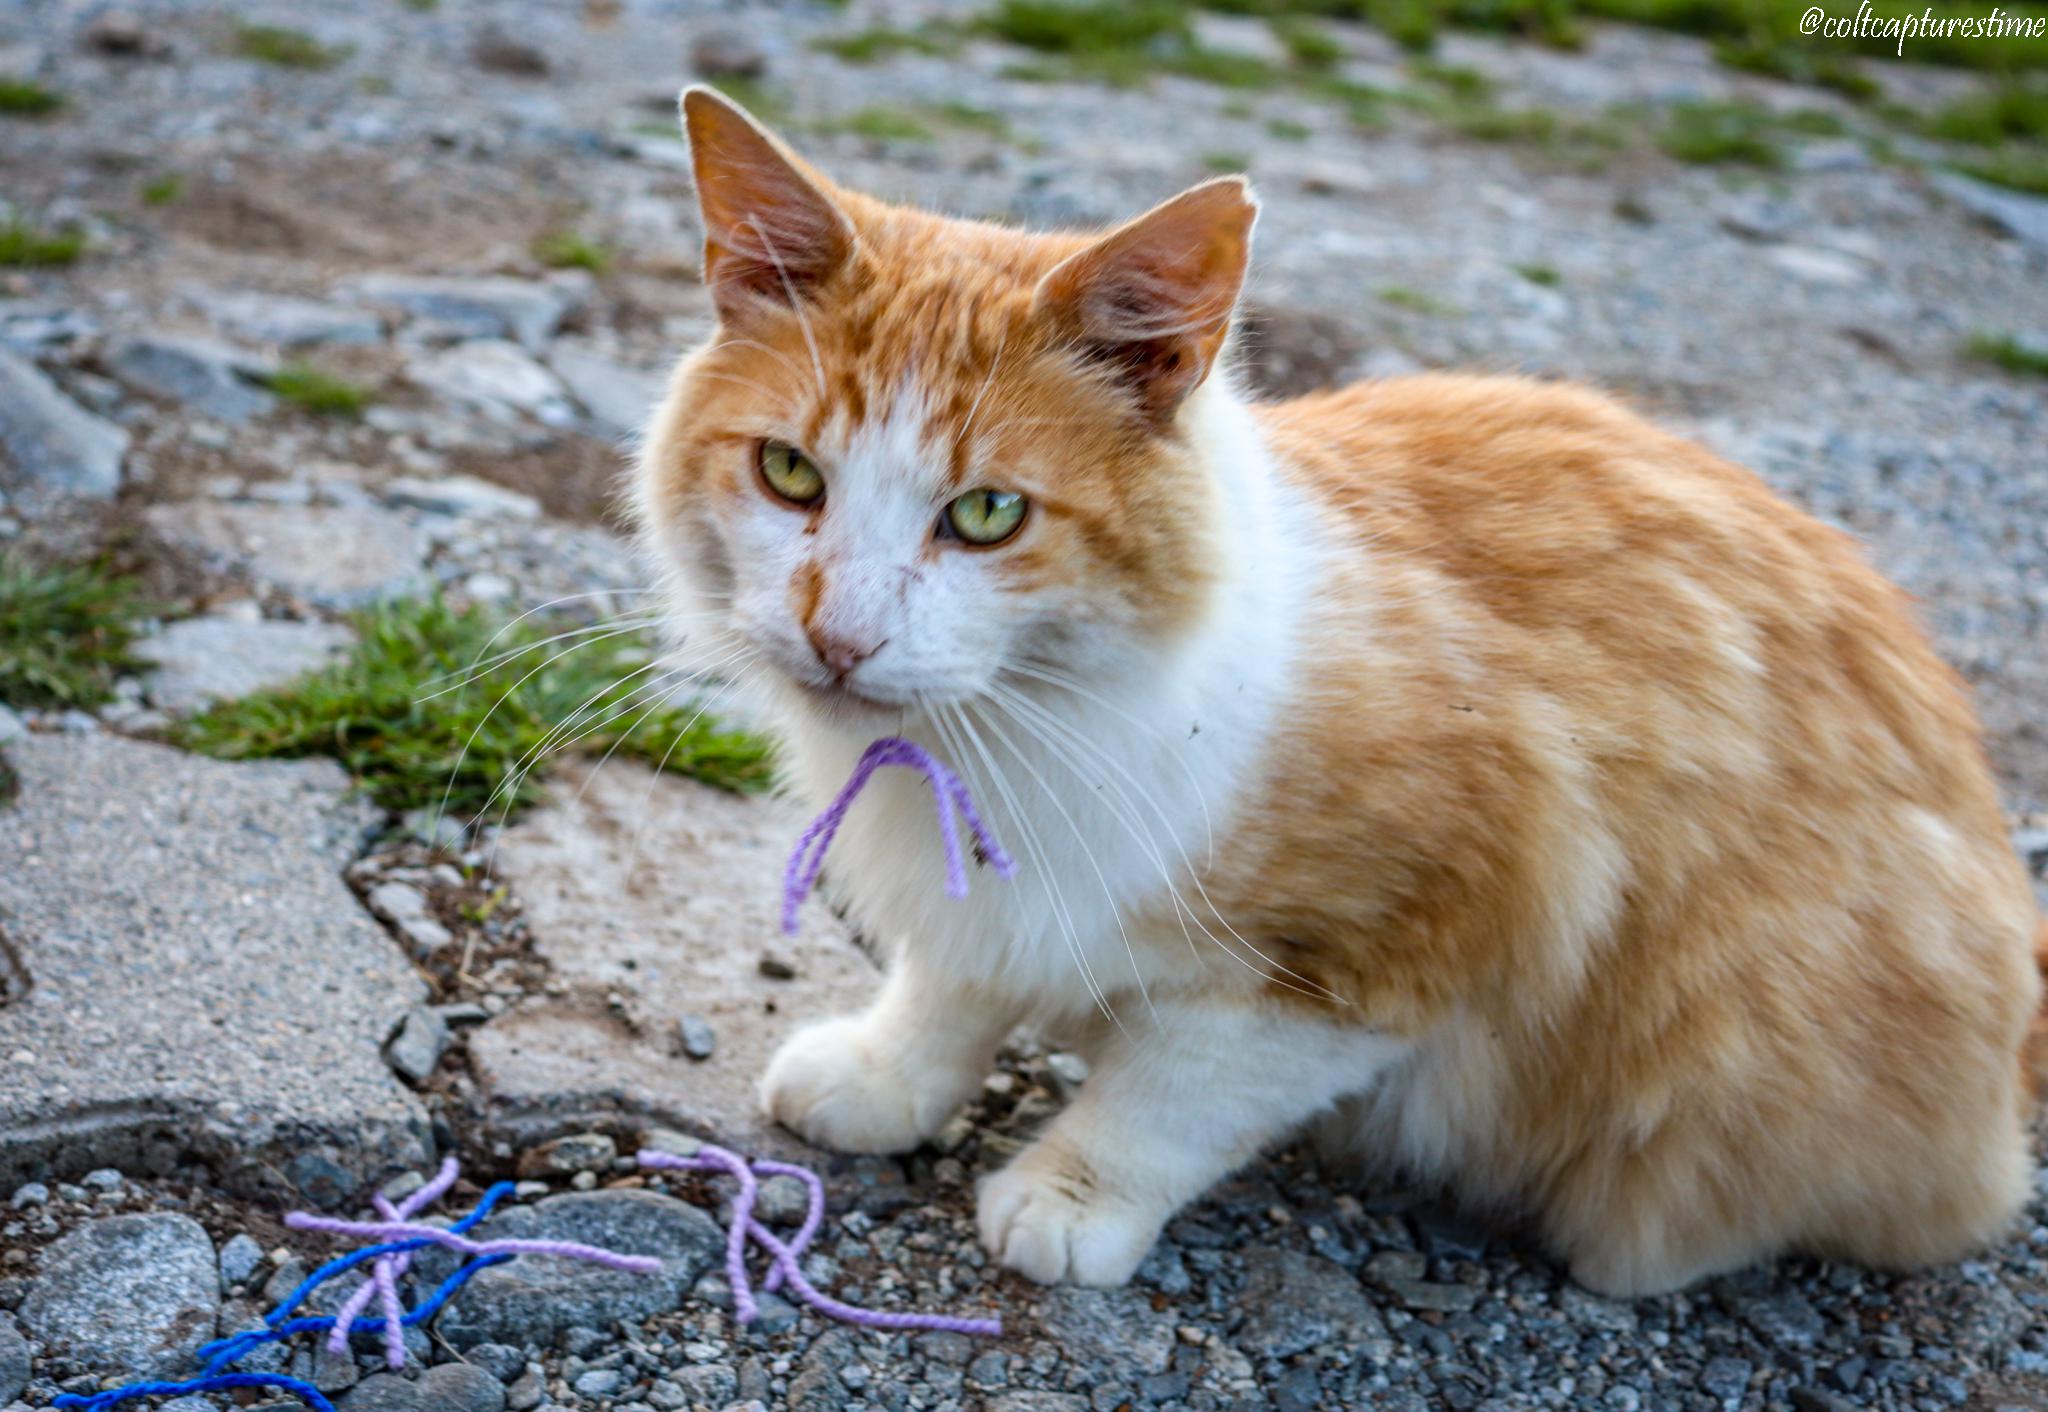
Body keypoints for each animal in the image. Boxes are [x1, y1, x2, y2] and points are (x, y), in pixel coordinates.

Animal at [630, 88, 2039, 1295]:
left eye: (985, 515)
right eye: (790, 473)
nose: (838, 634)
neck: (1010, 727)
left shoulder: (1380, 950)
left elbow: (1170, 1097)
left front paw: (1069, 1195)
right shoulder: (989, 896)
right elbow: (951, 983)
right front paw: (888, 1074)